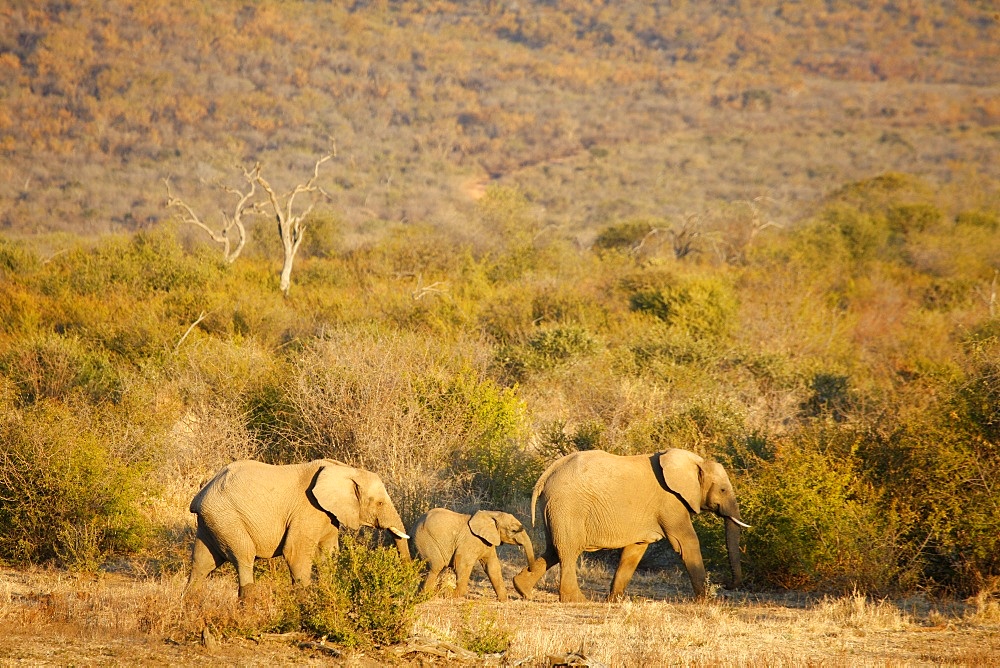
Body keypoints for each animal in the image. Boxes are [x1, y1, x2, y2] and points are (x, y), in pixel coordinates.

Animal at [186, 460, 408, 600]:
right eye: (379, 503)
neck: (343, 469)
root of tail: (200, 495)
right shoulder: (308, 509)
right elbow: (295, 554)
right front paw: (305, 605)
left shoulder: (328, 515)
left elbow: (329, 555)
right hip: (227, 518)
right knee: (243, 558)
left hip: (211, 522)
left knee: (201, 563)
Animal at [512, 448, 748, 600]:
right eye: (723, 490)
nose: (726, 585)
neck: (695, 461)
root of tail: (546, 475)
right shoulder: (671, 502)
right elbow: (686, 543)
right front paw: (707, 602)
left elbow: (635, 550)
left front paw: (615, 601)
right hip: (568, 505)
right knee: (568, 550)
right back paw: (576, 600)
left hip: (555, 508)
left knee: (554, 548)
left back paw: (521, 589)